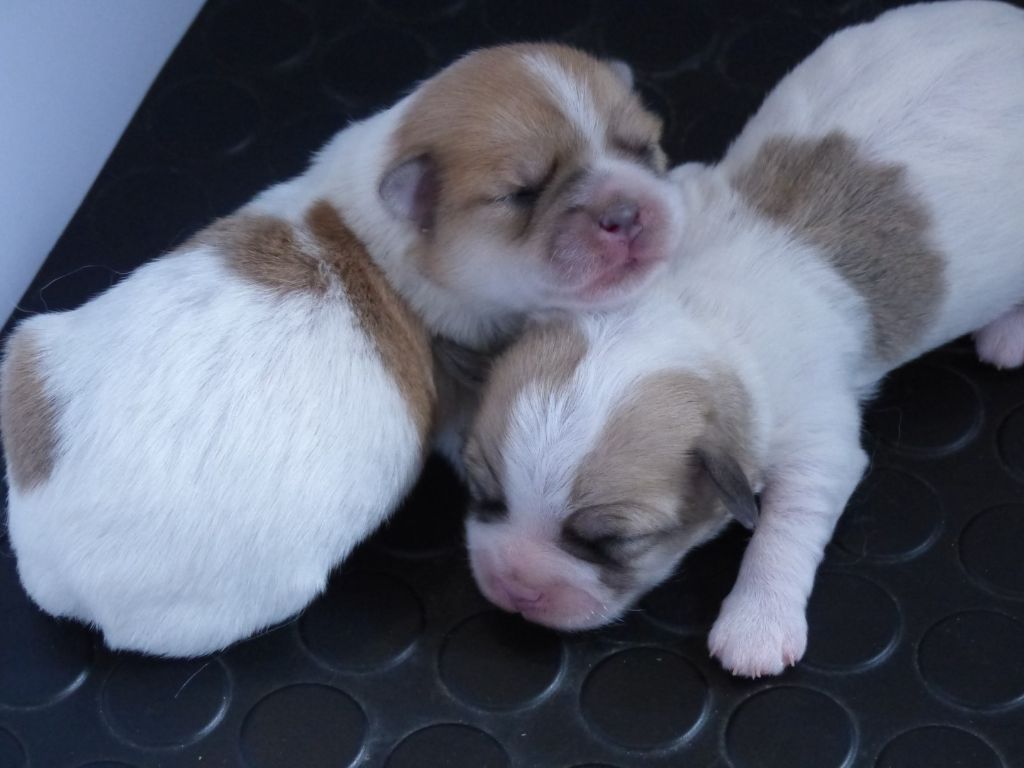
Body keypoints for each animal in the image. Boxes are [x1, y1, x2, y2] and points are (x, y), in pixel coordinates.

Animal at [464, 3, 1024, 679]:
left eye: (612, 541)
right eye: (483, 493)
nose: (516, 590)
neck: (682, 310)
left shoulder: (817, 442)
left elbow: (785, 526)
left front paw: (756, 624)